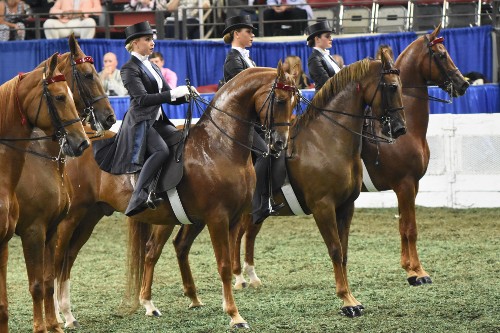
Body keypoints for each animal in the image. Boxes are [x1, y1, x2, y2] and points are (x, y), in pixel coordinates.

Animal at [13, 34, 116, 332]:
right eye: (88, 74)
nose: (110, 117)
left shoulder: (53, 225)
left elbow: (50, 275)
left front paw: (57, 319)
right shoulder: (40, 227)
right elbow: (45, 275)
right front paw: (55, 318)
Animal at [50, 63, 296, 328]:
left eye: (295, 101)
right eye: (280, 100)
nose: (280, 143)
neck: (219, 146)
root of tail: (77, 144)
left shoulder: (234, 217)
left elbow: (230, 261)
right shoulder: (217, 218)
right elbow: (223, 265)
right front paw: (234, 315)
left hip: (92, 217)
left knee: (72, 258)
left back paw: (78, 314)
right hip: (71, 218)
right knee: (56, 259)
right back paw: (58, 316)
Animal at [143, 51, 408, 316]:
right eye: (392, 87)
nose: (399, 128)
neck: (326, 140)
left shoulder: (346, 206)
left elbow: (343, 253)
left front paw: (353, 299)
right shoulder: (323, 206)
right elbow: (334, 249)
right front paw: (346, 301)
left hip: (201, 216)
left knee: (190, 244)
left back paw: (203, 293)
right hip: (172, 216)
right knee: (154, 249)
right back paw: (150, 302)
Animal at [229, 24, 468, 292]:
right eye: (441, 55)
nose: (463, 84)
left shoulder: (410, 185)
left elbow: (402, 226)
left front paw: (409, 267)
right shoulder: (405, 184)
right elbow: (410, 228)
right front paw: (416, 272)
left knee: (248, 232)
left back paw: (250, 276)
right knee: (239, 233)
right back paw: (239, 278)